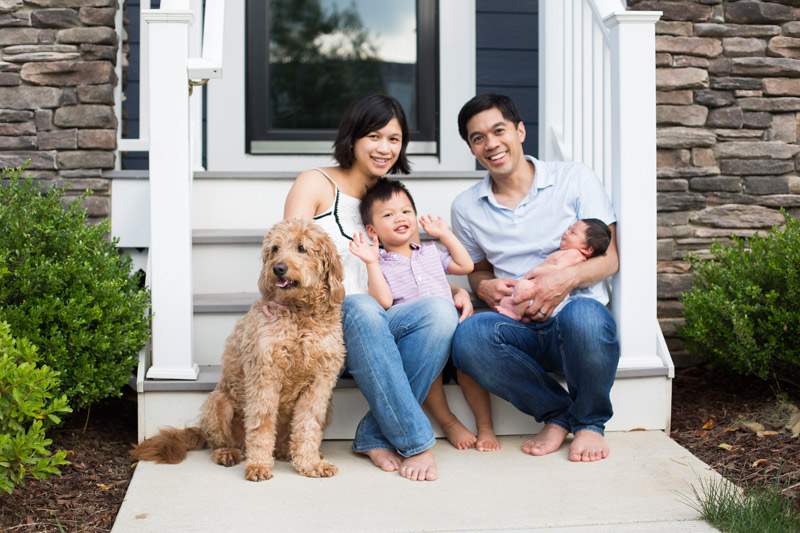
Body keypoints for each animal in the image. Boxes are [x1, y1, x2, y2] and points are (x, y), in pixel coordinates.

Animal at [131, 218, 344, 480]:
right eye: (275, 249)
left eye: (302, 247)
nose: (278, 268)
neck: (299, 314)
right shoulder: (264, 376)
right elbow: (261, 425)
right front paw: (259, 466)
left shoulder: (320, 384)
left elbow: (307, 426)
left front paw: (311, 464)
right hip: (219, 404)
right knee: (222, 442)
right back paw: (228, 453)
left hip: (328, 408)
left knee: (286, 441)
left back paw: (289, 451)